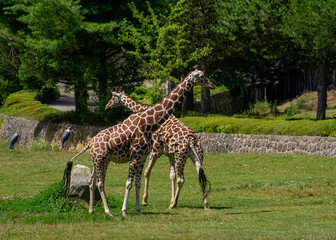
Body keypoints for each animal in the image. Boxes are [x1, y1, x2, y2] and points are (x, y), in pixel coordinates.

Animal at [64, 66, 214, 217]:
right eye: (202, 76)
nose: (212, 85)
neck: (148, 123)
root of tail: (90, 143)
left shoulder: (144, 156)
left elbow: (138, 182)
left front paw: (139, 209)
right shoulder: (140, 155)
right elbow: (130, 182)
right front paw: (125, 210)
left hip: (101, 161)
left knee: (93, 181)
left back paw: (92, 210)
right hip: (101, 160)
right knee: (99, 182)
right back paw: (107, 211)